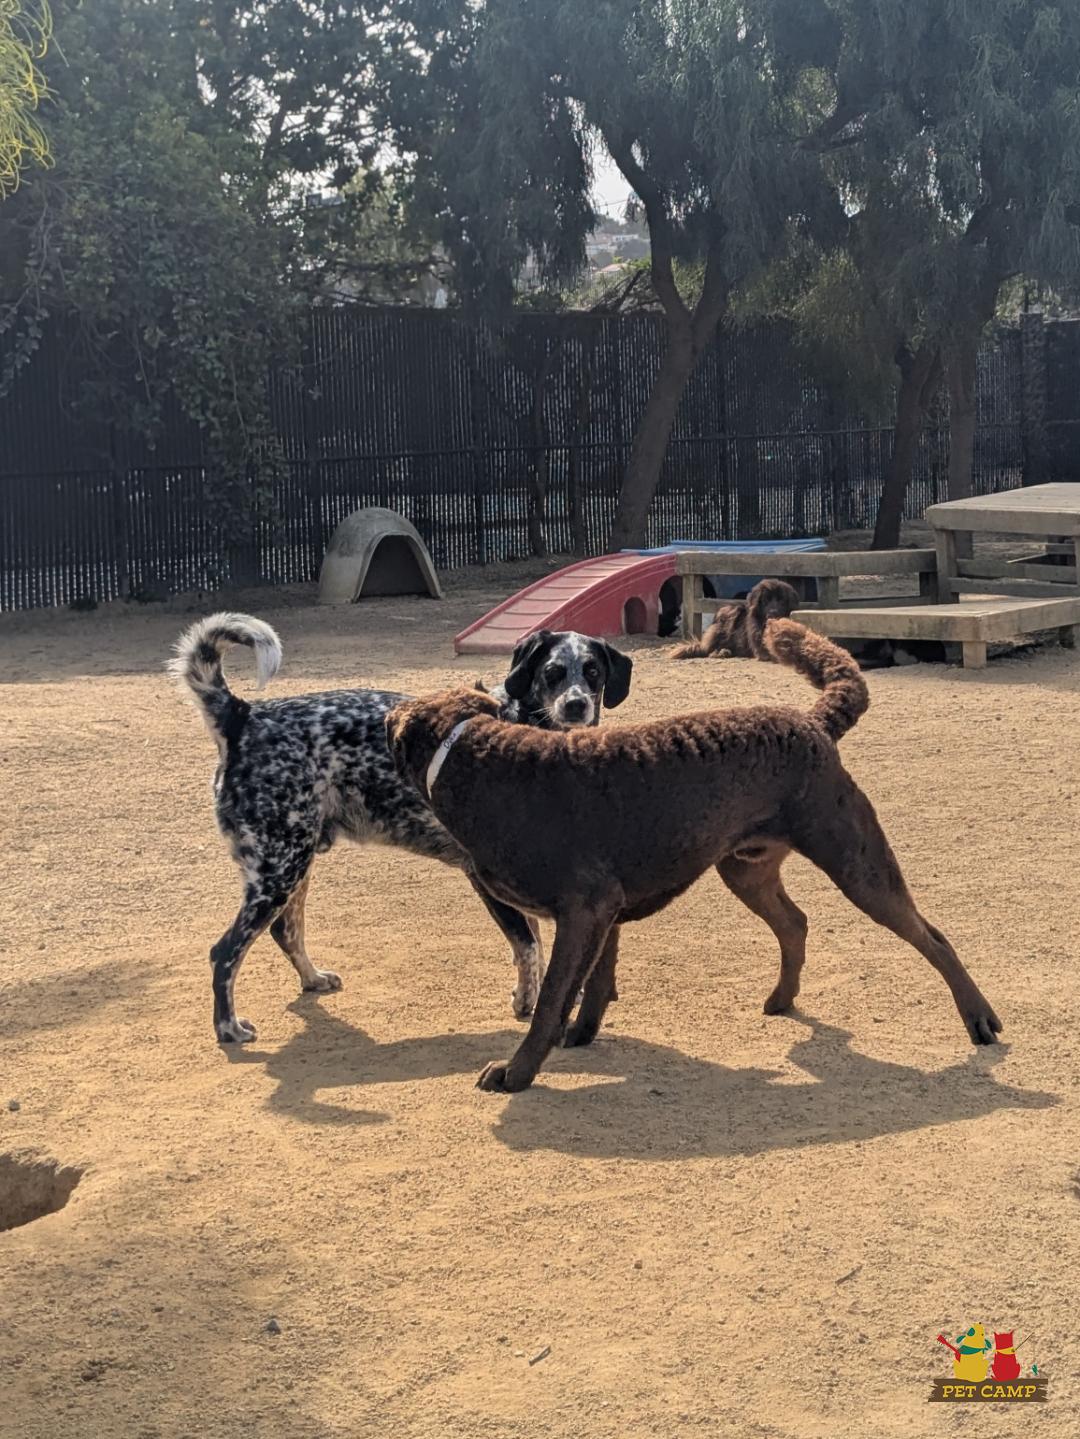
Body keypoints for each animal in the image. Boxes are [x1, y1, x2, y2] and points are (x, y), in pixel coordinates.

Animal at [169, 615, 632, 1044]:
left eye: (593, 671)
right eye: (552, 672)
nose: (576, 705)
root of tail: (243, 715)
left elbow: (542, 950)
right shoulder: (483, 877)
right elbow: (528, 946)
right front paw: (527, 1004)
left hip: (294, 865)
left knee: (285, 931)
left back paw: (313, 978)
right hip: (277, 874)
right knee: (225, 953)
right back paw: (228, 1027)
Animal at [387, 620, 1001, 1093]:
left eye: (588, 674)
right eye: (553, 674)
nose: (577, 703)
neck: (482, 756)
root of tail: (811, 722)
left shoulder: (585, 906)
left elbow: (552, 1001)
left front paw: (517, 1072)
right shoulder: (600, 912)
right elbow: (594, 982)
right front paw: (580, 1035)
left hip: (856, 863)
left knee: (932, 937)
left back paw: (979, 1019)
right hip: (746, 868)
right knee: (795, 922)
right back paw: (782, 999)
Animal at [670, 578, 800, 660]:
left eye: (781, 601)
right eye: (766, 601)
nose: (773, 613)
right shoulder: (762, 649)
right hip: (730, 611)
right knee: (709, 650)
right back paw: (720, 653)